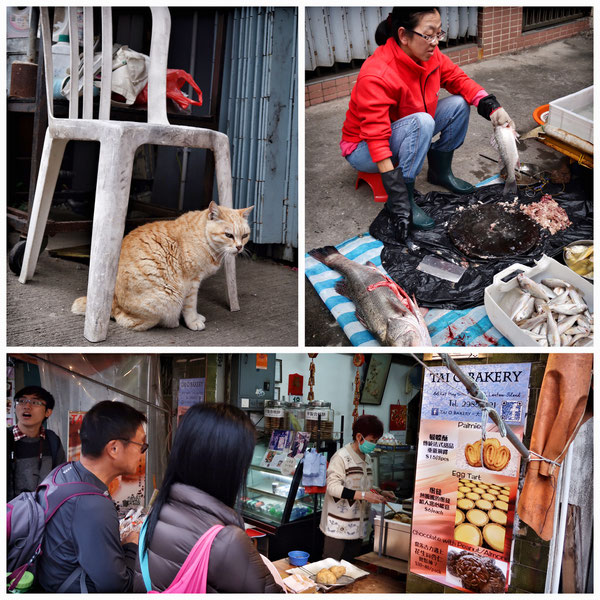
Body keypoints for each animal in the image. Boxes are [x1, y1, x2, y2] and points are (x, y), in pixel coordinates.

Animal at [71, 202, 253, 332]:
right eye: (228, 235)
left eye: (245, 235)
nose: (239, 247)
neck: (203, 237)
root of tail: (113, 302)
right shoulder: (192, 283)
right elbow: (190, 306)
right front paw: (193, 321)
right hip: (168, 298)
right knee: (126, 320)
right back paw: (171, 322)